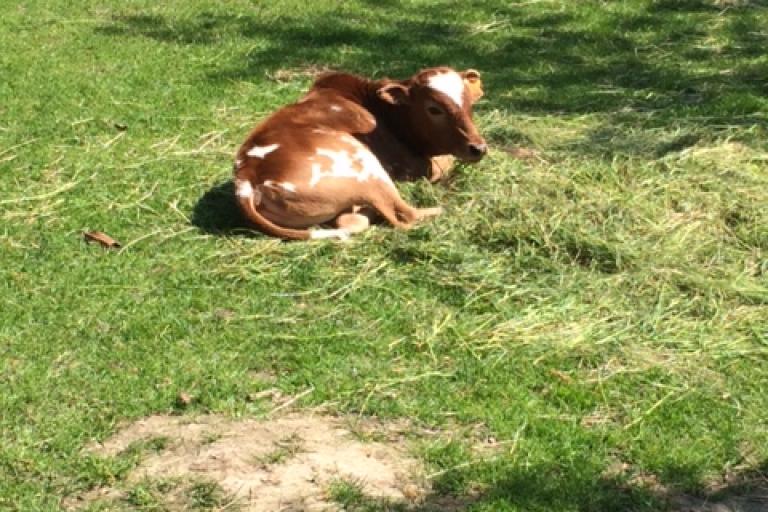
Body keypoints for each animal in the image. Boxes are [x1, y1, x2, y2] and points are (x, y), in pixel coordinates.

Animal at [232, 66, 486, 240]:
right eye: (434, 109)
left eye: (469, 103)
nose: (478, 148)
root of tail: (247, 178)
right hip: (366, 168)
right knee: (403, 215)